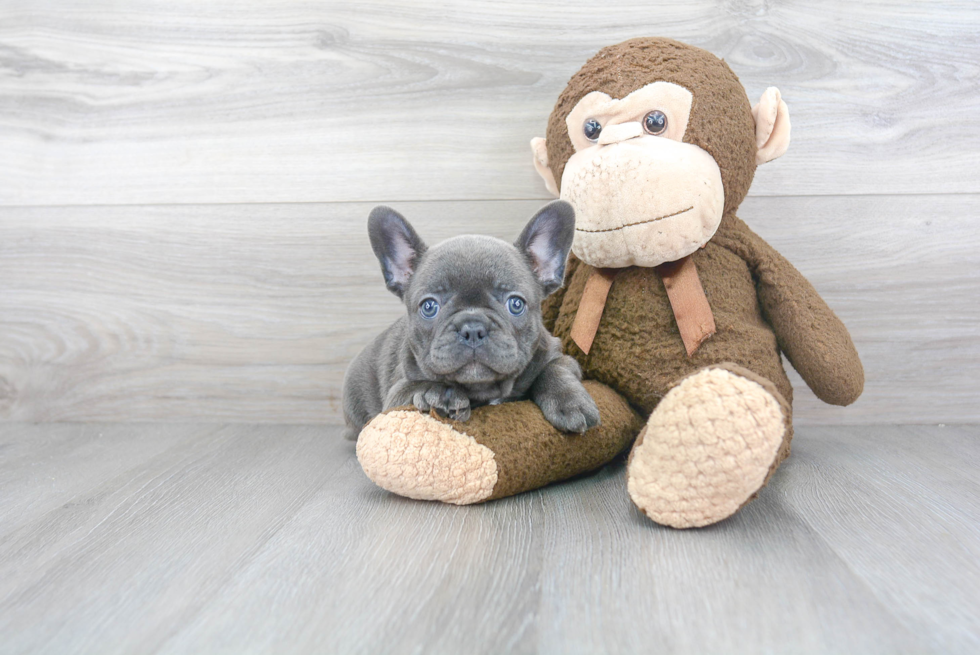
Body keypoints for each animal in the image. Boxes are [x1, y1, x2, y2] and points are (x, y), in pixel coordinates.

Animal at [344, 201, 604, 440]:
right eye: (429, 307)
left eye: (516, 304)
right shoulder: (396, 394)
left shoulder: (559, 356)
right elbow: (417, 386)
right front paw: (440, 394)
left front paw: (570, 401)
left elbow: (555, 369)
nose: (472, 328)